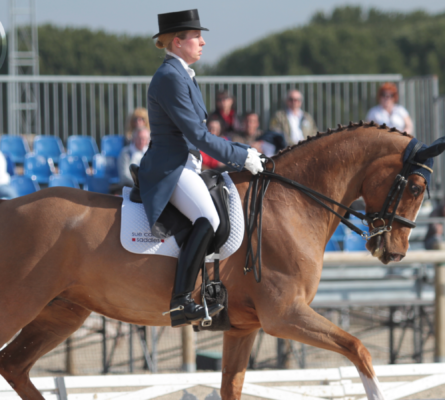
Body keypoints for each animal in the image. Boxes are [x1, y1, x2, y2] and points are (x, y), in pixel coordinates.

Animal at [0, 123, 430, 398]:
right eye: (414, 186)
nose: (395, 251)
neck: (292, 201)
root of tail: (9, 207)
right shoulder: (285, 315)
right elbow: (359, 349)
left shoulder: (243, 328)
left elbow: (231, 388)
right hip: (19, 305)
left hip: (62, 312)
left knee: (13, 366)